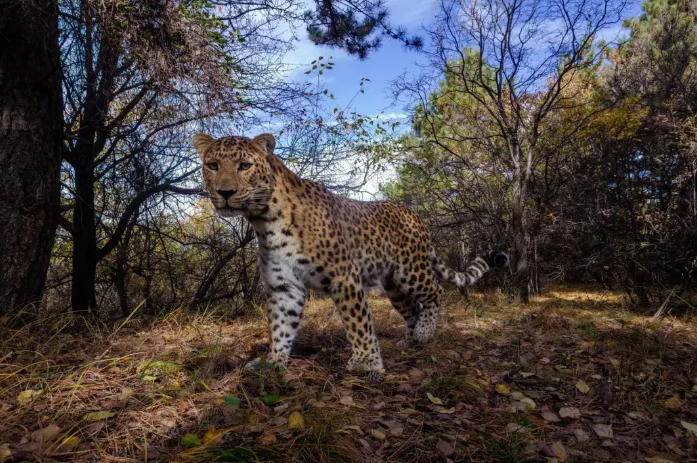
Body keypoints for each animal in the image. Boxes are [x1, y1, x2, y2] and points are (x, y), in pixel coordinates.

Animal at [193, 132, 508, 378]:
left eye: (244, 166)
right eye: (212, 165)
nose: (224, 192)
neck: (264, 220)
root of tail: (414, 214)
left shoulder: (344, 277)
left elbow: (358, 322)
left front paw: (366, 362)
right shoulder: (285, 285)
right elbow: (281, 325)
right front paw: (274, 361)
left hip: (411, 270)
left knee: (434, 294)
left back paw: (425, 333)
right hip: (393, 285)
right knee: (412, 308)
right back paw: (410, 341)